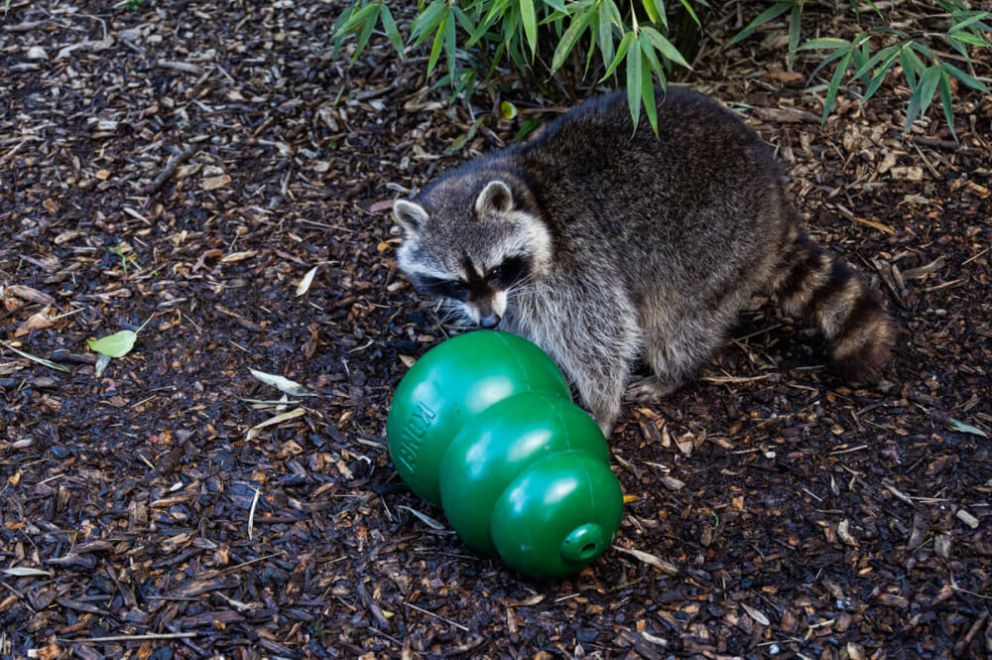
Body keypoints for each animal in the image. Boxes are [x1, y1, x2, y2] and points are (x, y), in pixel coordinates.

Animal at [392, 87, 894, 435]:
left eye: (496, 270)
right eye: (457, 283)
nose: (487, 323)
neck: (527, 188)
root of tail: (777, 205)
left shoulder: (579, 262)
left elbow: (602, 336)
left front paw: (600, 408)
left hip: (717, 243)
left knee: (677, 322)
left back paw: (673, 373)